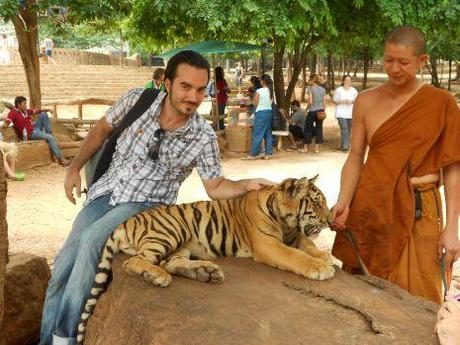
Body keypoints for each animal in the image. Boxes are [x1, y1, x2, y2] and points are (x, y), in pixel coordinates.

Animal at [75, 176, 334, 342]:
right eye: (317, 202)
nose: (331, 221)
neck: (284, 221)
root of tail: (125, 222)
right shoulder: (268, 245)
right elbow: (296, 255)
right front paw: (321, 267)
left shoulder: (293, 236)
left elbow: (307, 244)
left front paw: (327, 257)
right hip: (169, 231)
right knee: (135, 262)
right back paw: (158, 276)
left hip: (181, 244)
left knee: (172, 262)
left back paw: (207, 273)